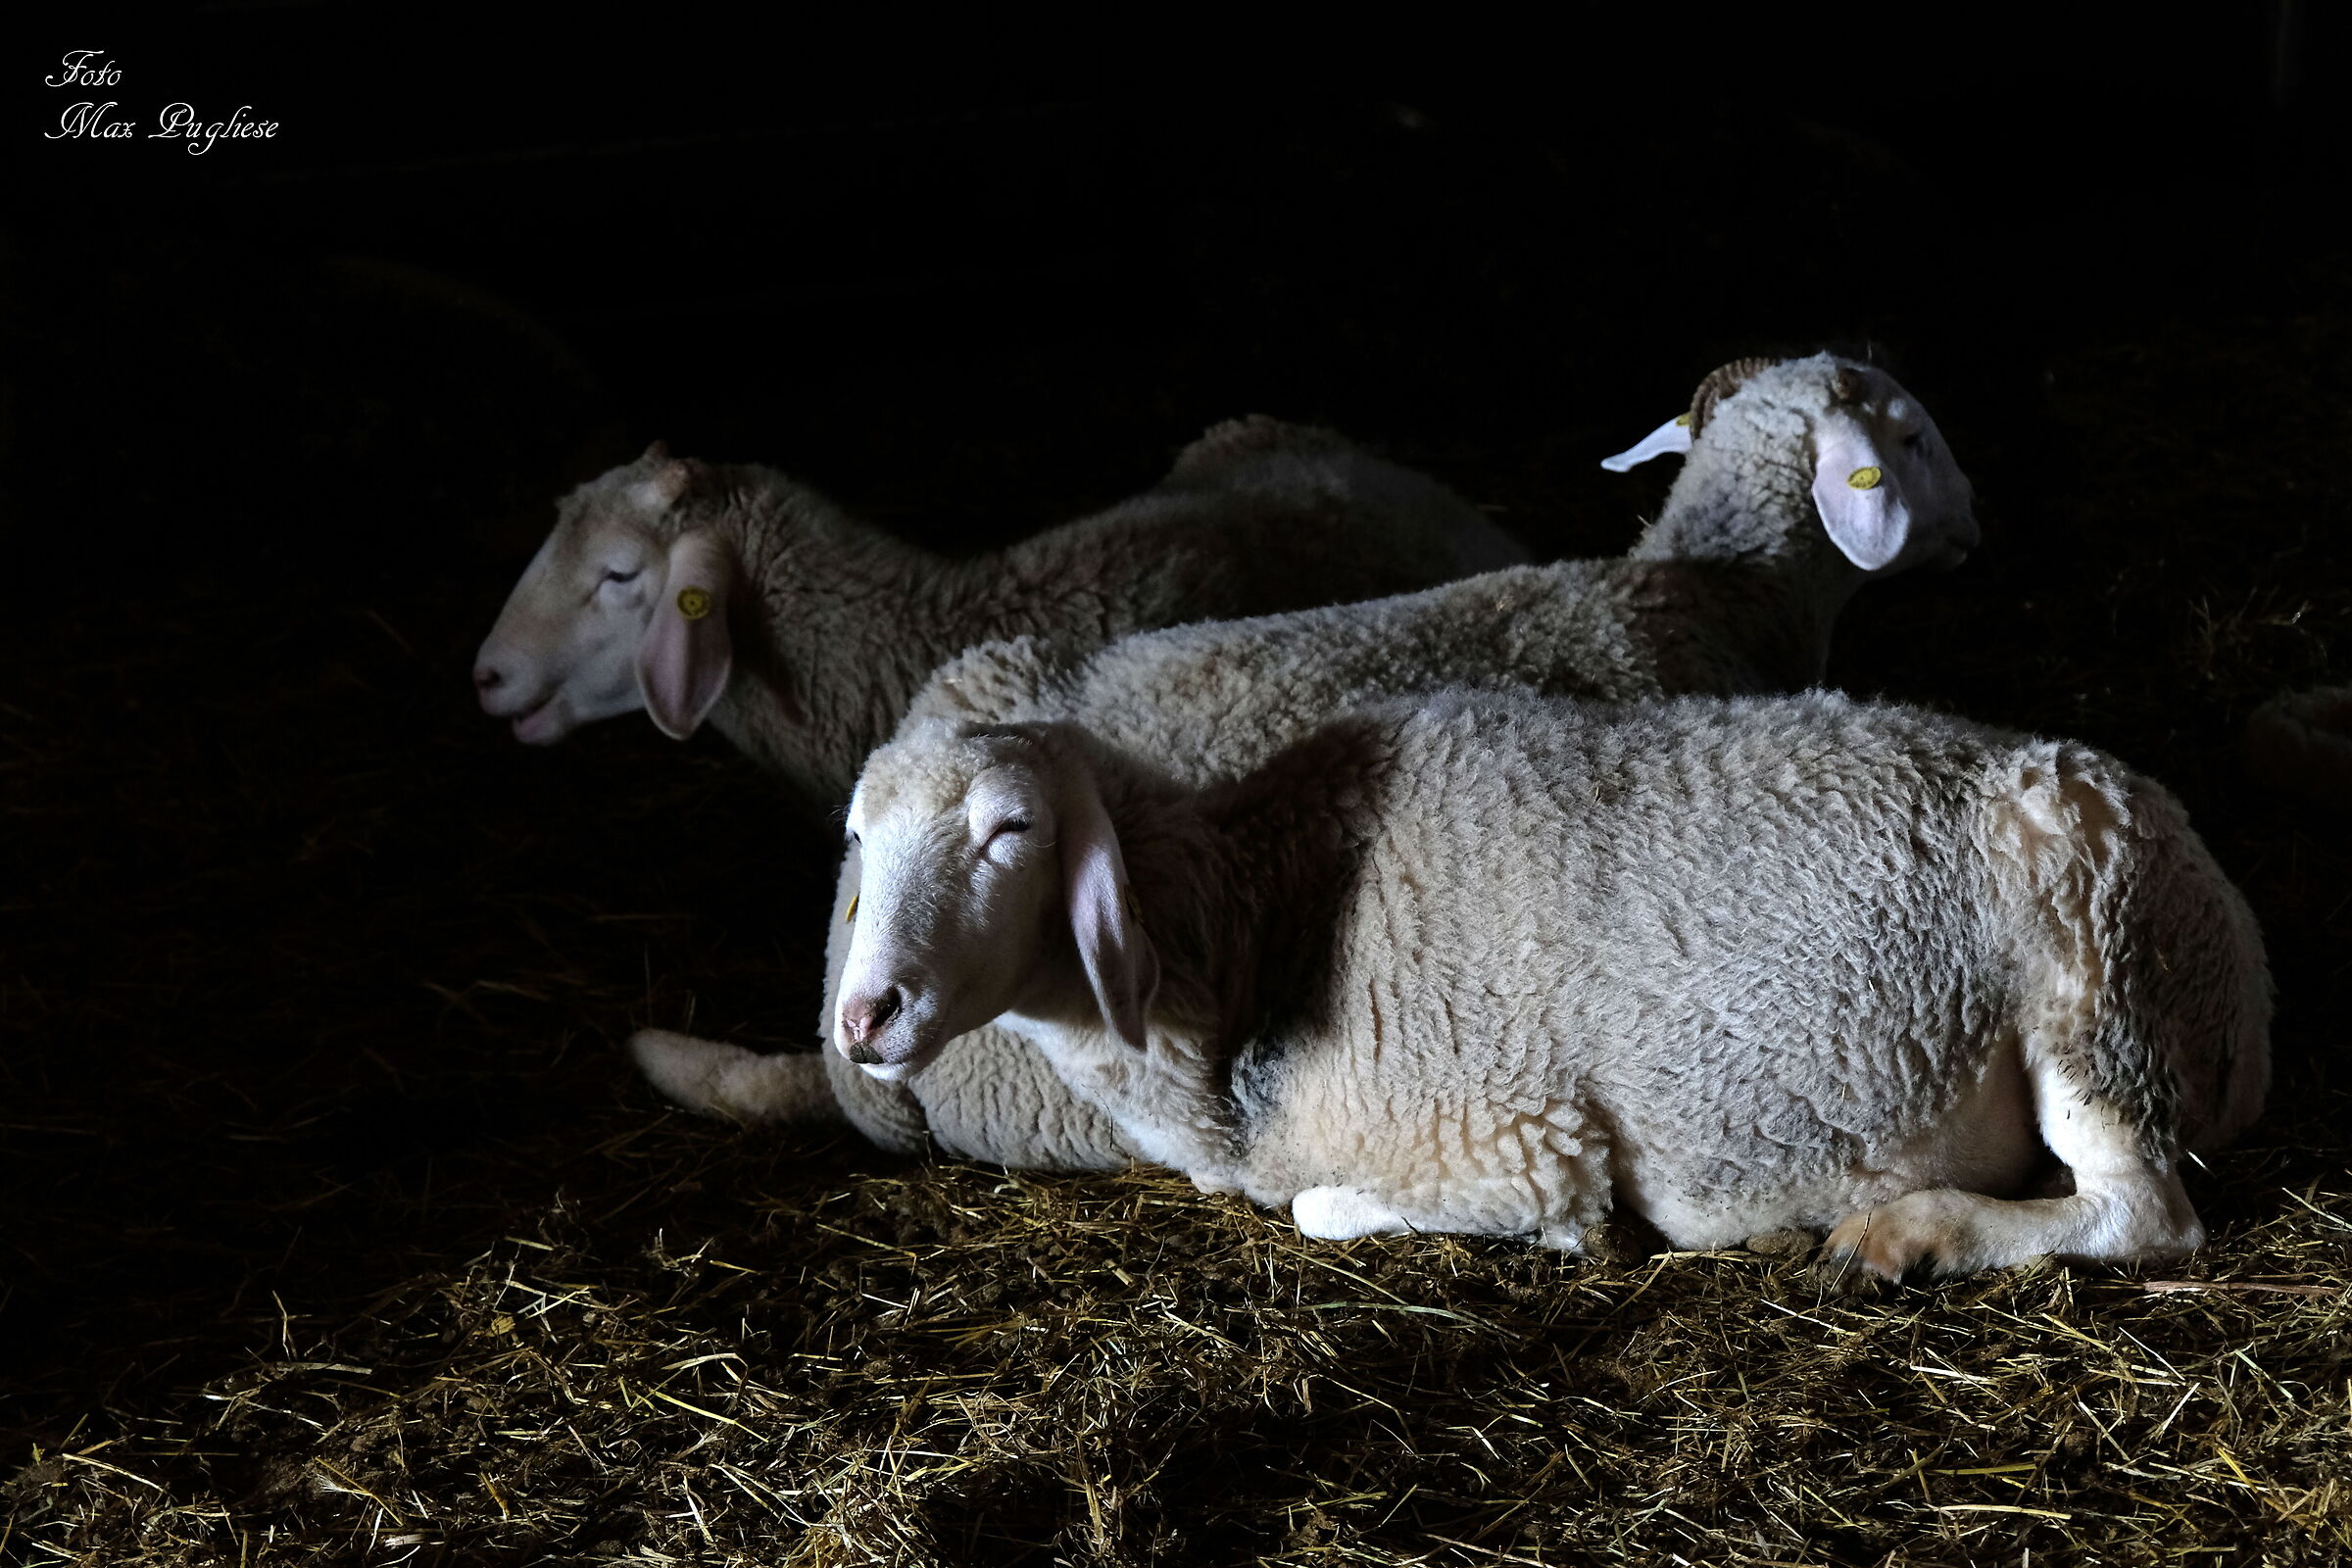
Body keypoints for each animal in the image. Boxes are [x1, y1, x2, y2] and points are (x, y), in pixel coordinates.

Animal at [824, 689, 2270, 1279]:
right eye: (854, 835)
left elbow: (1325, 1212)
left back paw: (1907, 1235)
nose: (865, 1014)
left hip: (2100, 985)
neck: (1254, 927)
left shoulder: (1517, 1142)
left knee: (2147, 1215)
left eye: (1010, 831)